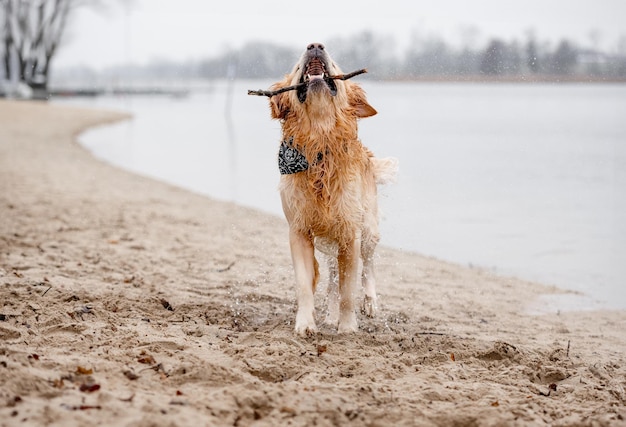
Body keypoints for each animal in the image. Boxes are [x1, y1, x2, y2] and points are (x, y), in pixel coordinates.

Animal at [266, 42, 394, 334]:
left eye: (335, 65)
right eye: (295, 67)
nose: (314, 45)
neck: (319, 145)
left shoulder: (350, 233)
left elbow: (349, 290)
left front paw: (347, 327)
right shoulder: (299, 230)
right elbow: (306, 285)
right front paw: (305, 324)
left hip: (368, 228)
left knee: (368, 265)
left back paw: (370, 302)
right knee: (334, 278)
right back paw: (331, 314)